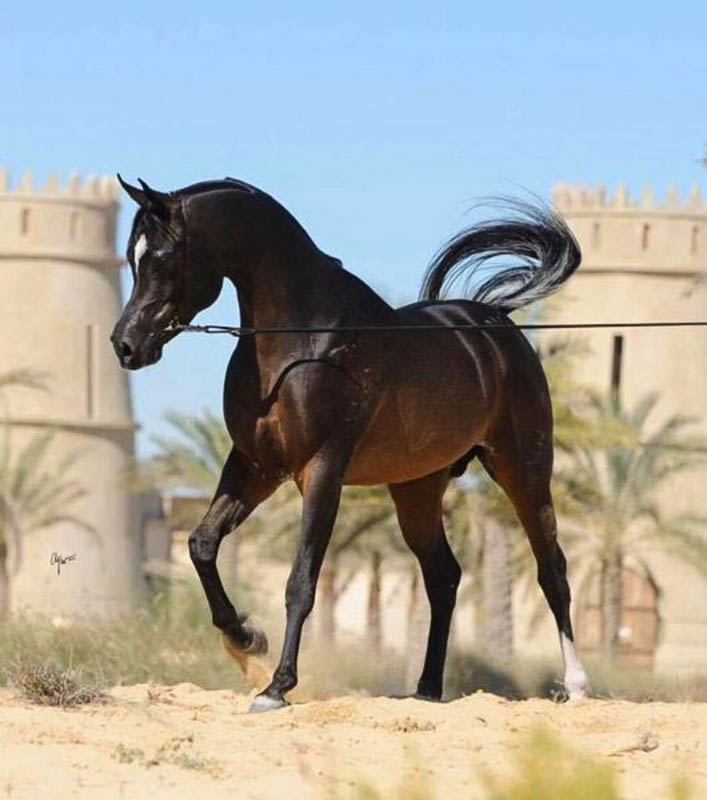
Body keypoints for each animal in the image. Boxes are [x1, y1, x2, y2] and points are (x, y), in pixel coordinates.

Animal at [111, 175, 589, 711]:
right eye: (132, 256)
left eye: (164, 256)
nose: (126, 345)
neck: (302, 340)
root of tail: (495, 325)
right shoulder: (255, 466)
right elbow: (201, 545)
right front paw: (245, 640)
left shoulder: (321, 469)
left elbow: (301, 580)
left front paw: (276, 686)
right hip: (418, 488)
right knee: (443, 577)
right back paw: (426, 689)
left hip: (522, 469)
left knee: (552, 569)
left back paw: (575, 685)